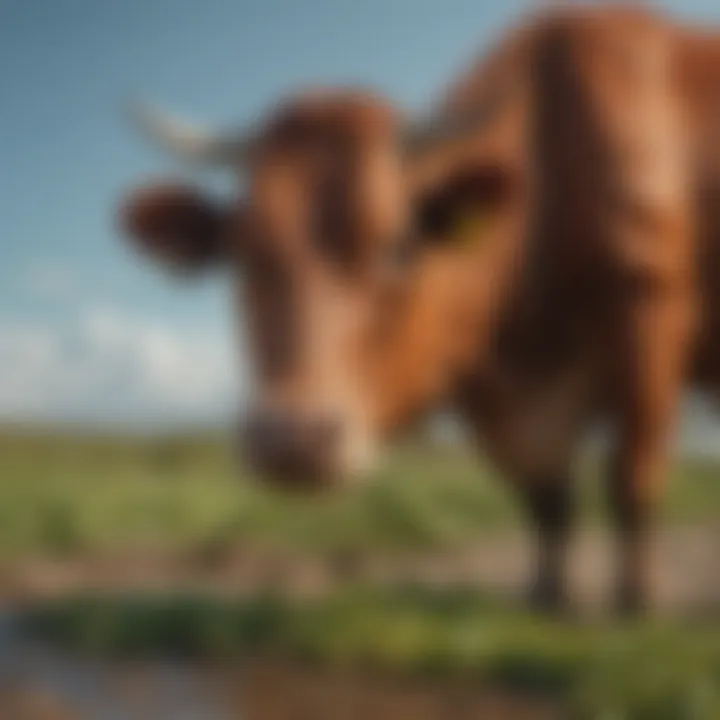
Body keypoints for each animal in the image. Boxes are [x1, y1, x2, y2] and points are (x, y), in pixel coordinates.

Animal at [118, 4, 720, 612]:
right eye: (240, 252)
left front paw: (636, 601)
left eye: (397, 244)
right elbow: (546, 500)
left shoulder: (649, 324)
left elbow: (631, 480)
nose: (293, 440)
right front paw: (545, 596)